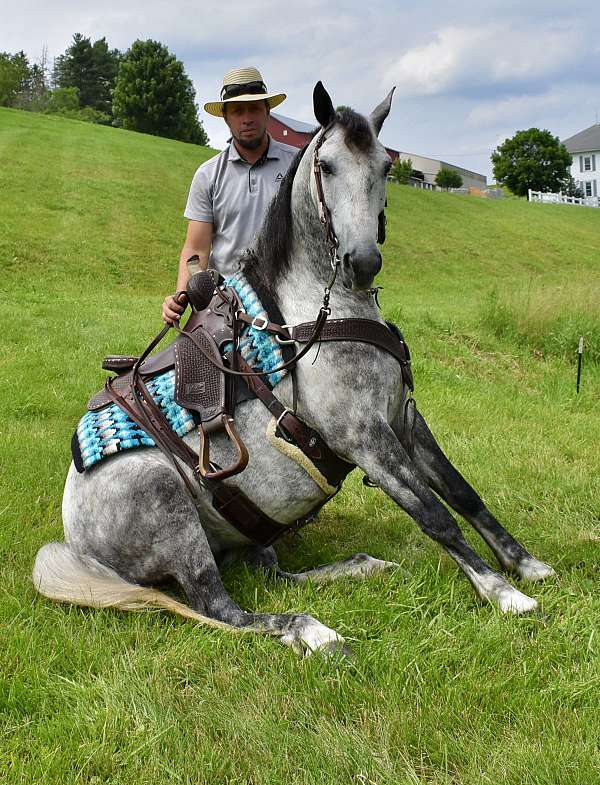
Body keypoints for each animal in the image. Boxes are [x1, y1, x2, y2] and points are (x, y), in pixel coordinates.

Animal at [33, 83, 555, 657]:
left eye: (384, 166)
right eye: (326, 166)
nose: (362, 262)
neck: (316, 315)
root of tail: (79, 544)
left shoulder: (404, 420)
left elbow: (462, 492)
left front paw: (527, 566)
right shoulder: (365, 439)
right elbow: (434, 515)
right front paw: (503, 594)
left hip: (247, 538)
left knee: (272, 575)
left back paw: (361, 567)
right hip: (170, 510)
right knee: (224, 610)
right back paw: (315, 631)